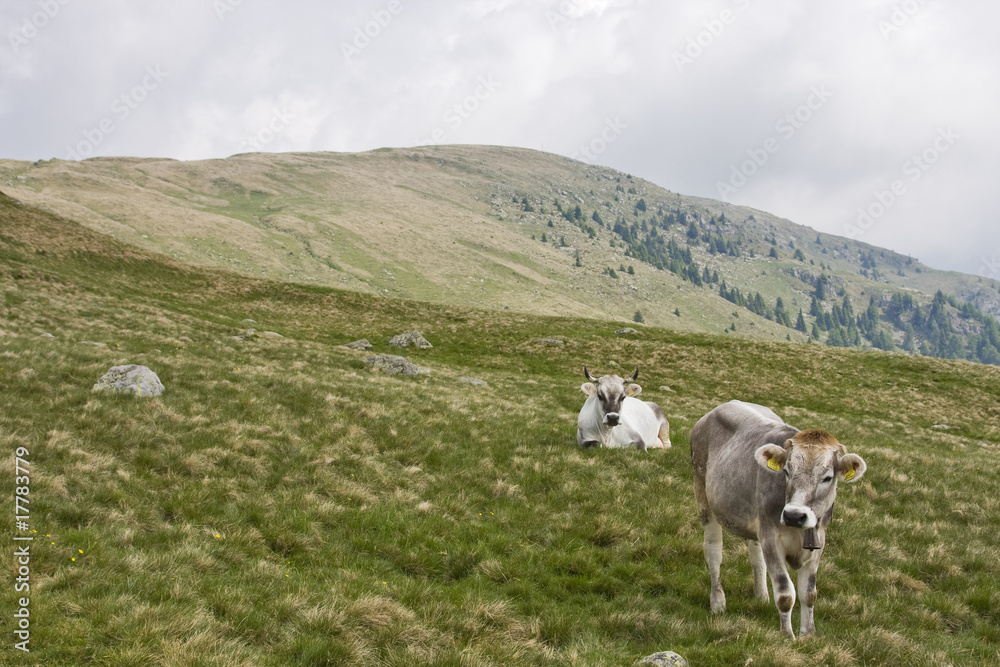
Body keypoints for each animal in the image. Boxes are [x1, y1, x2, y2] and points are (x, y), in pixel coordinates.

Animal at [690, 400, 867, 639]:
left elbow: (809, 593)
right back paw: (718, 602)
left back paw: (762, 597)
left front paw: (808, 635)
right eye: (787, 471)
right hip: (703, 495)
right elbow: (785, 593)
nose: (794, 515)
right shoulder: (772, 538)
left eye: (827, 478)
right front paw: (787, 636)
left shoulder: (818, 541)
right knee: (714, 552)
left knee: (756, 557)